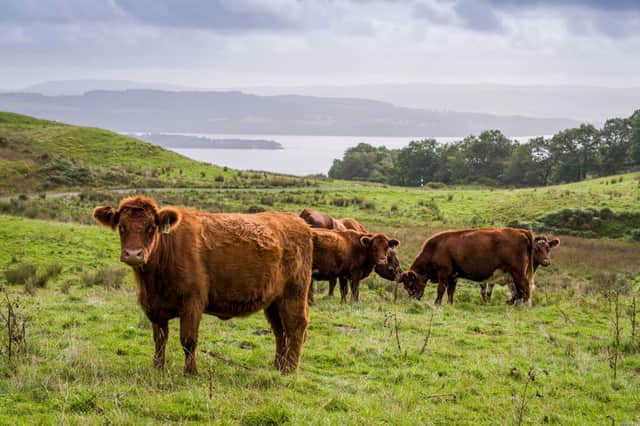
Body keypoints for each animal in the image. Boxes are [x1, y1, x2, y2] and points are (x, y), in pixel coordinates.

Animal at [93, 196, 313, 375]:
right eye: (122, 227)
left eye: (151, 227)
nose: (133, 254)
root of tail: (298, 221)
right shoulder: (156, 307)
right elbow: (160, 340)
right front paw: (157, 367)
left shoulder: (192, 302)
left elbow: (188, 340)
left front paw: (190, 372)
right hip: (274, 301)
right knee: (280, 331)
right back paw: (278, 367)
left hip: (294, 293)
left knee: (295, 326)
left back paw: (289, 369)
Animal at [400, 228, 542, 306]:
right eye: (406, 286)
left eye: (410, 284)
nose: (413, 300)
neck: (436, 248)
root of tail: (521, 231)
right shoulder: (453, 276)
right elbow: (451, 291)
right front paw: (450, 304)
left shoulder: (444, 273)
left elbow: (441, 289)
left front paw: (437, 303)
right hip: (514, 274)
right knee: (520, 290)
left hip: (518, 272)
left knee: (525, 287)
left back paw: (524, 306)